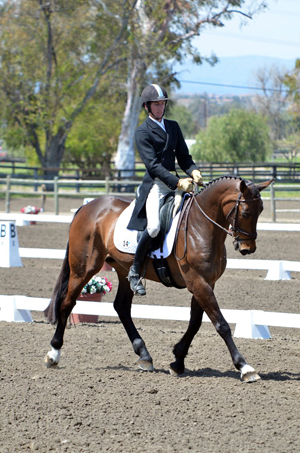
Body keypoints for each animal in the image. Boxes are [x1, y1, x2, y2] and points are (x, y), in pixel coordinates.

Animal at [44, 175, 272, 380]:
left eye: (261, 210)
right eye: (246, 212)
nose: (247, 248)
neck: (200, 226)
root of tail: (87, 207)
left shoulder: (206, 283)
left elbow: (195, 322)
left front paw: (177, 362)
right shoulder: (198, 282)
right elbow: (221, 324)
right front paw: (244, 366)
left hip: (124, 270)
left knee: (121, 307)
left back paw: (144, 356)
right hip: (83, 269)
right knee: (67, 303)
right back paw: (53, 354)